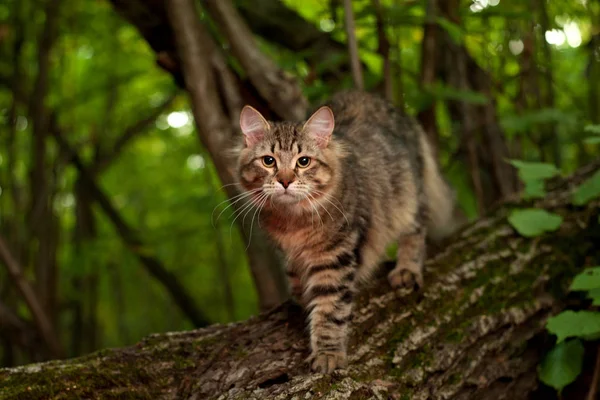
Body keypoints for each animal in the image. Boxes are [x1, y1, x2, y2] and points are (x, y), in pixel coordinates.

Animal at [236, 92, 460, 374]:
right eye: (269, 161)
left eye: (303, 162)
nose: (285, 181)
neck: (293, 221)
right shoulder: (287, 252)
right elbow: (296, 280)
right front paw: (301, 295)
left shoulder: (334, 257)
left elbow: (329, 311)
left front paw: (327, 354)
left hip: (408, 198)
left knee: (416, 233)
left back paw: (406, 270)